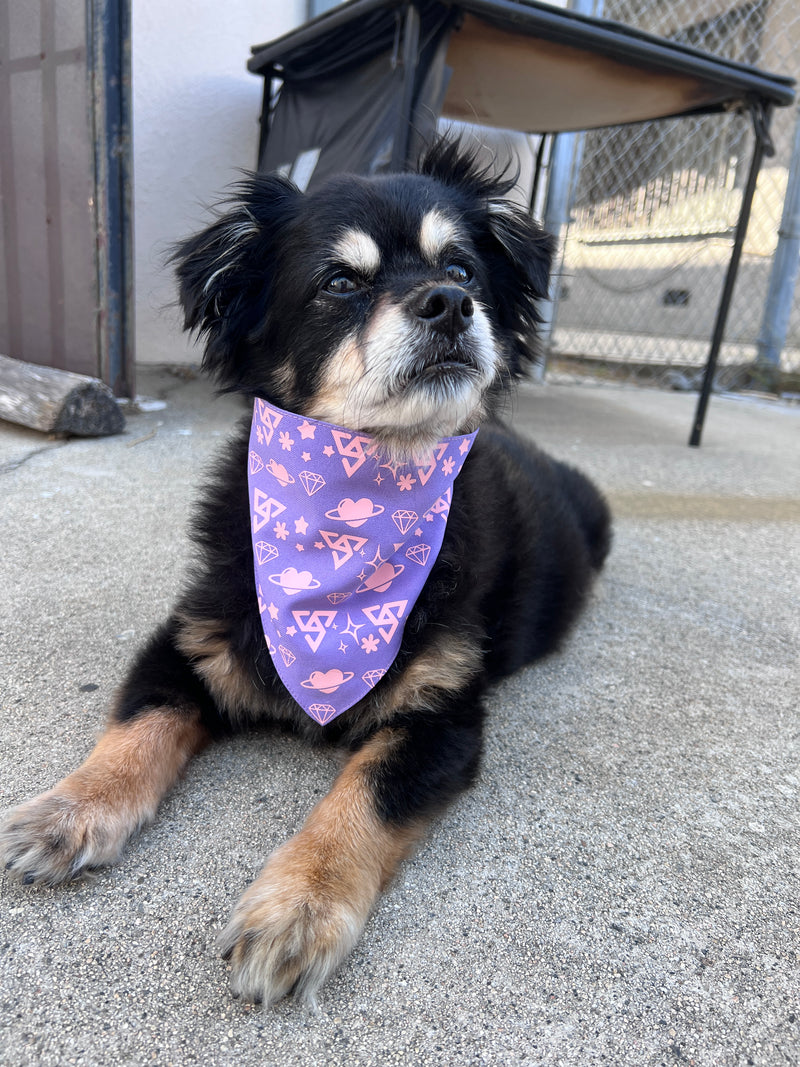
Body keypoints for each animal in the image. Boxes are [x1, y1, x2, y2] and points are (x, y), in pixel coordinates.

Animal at [1, 139, 614, 1007]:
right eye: (340, 282)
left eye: (461, 268)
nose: (450, 304)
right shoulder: (190, 638)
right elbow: (136, 727)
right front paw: (66, 811)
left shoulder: (442, 717)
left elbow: (362, 798)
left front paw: (299, 908)